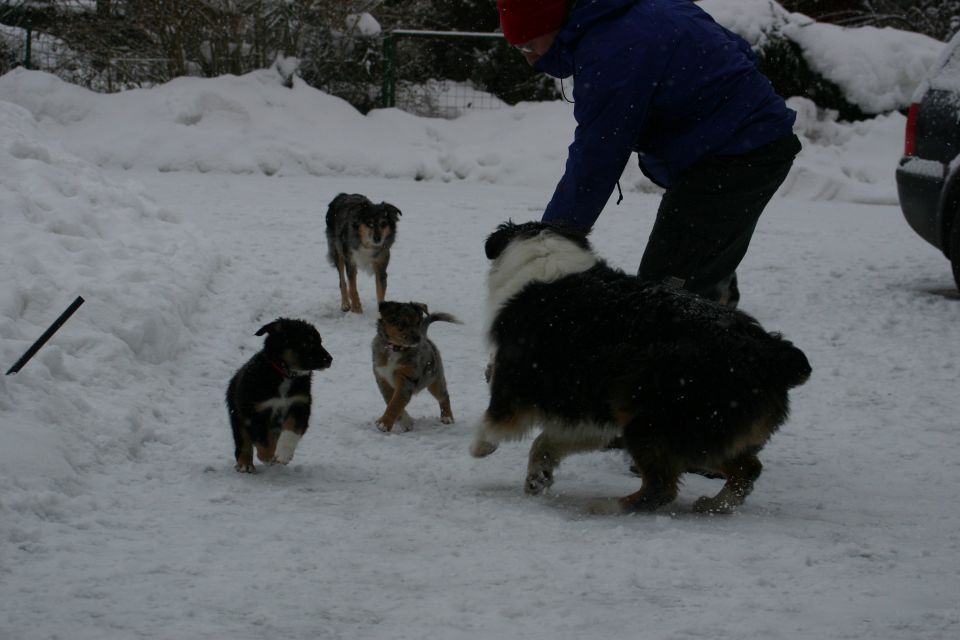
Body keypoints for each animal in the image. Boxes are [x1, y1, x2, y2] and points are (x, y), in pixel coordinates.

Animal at [226, 318, 334, 472]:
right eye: (306, 344)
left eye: (320, 341)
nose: (329, 359)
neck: (285, 374)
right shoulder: (255, 411)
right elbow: (262, 439)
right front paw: (268, 456)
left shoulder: (300, 404)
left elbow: (291, 431)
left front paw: (283, 455)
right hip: (237, 413)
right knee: (243, 440)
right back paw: (245, 464)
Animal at [372, 302, 462, 432]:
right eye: (401, 324)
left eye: (418, 322)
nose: (417, 338)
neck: (396, 349)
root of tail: (425, 336)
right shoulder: (382, 377)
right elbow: (390, 400)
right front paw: (406, 422)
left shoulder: (407, 378)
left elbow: (396, 403)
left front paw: (384, 423)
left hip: (434, 377)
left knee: (444, 395)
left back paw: (447, 417)